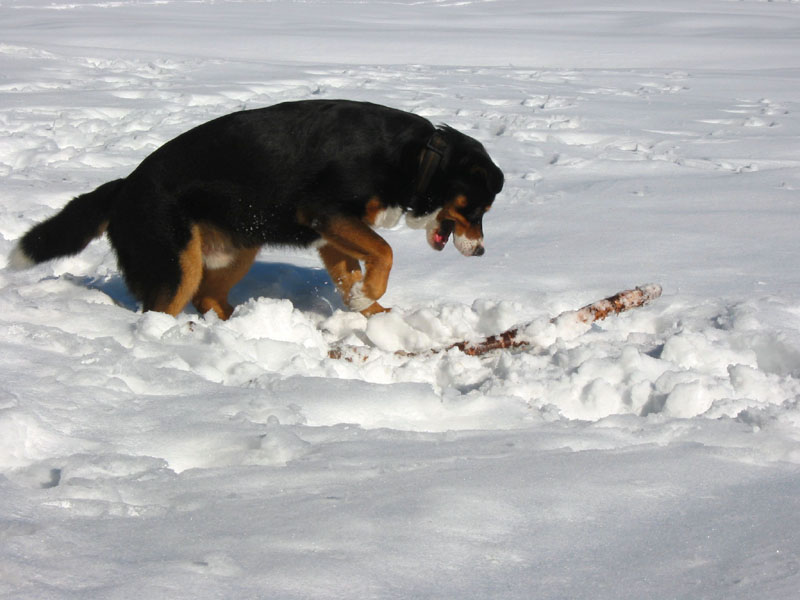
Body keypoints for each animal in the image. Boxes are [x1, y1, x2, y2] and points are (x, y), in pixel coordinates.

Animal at [9, 98, 504, 318]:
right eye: (479, 208)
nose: (482, 252)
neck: (418, 158)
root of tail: (124, 185)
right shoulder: (325, 212)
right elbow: (385, 252)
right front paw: (370, 298)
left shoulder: (331, 234)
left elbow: (354, 276)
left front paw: (373, 316)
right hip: (176, 262)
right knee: (164, 309)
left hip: (237, 248)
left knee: (209, 298)